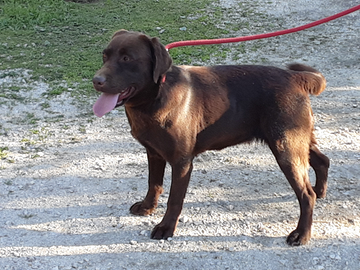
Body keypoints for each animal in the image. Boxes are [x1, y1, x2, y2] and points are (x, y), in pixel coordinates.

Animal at [92, 30, 330, 247]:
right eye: (104, 56)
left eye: (126, 58)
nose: (96, 81)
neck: (154, 98)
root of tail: (295, 77)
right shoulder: (154, 153)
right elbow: (154, 184)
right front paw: (147, 207)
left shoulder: (181, 162)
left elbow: (174, 199)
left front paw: (166, 228)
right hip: (296, 141)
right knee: (322, 161)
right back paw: (320, 192)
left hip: (286, 148)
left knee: (305, 194)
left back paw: (301, 233)